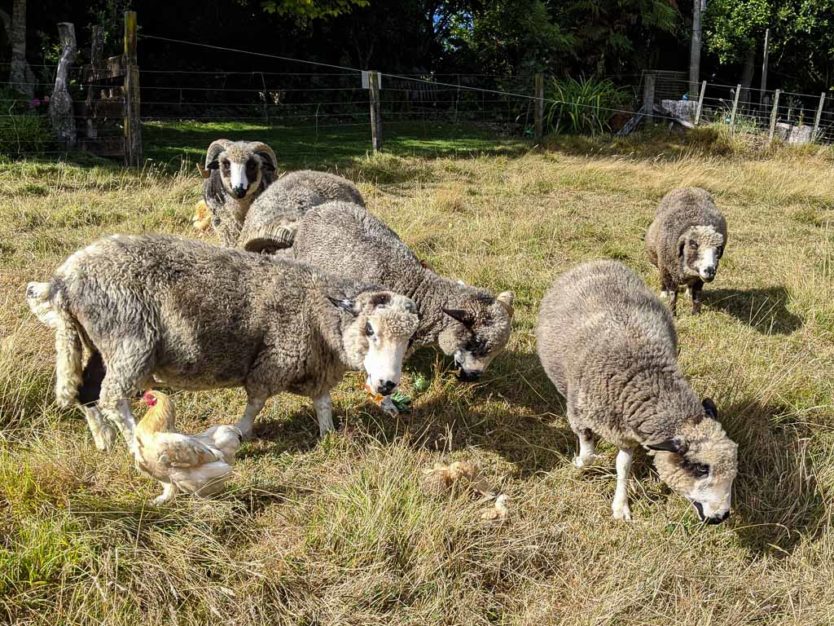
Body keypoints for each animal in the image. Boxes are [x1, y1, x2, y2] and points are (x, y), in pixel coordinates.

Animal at [26, 234, 420, 448]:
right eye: (370, 330)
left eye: (410, 338)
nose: (387, 385)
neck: (316, 306)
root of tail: (64, 280)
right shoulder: (275, 359)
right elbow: (256, 402)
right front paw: (242, 432)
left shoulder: (316, 367)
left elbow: (322, 403)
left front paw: (328, 435)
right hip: (128, 341)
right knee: (111, 397)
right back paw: (136, 444)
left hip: (99, 344)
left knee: (87, 392)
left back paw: (103, 441)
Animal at [532, 258, 736, 520]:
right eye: (700, 468)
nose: (721, 516)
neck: (644, 373)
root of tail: (597, 261)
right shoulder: (580, 416)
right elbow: (587, 454)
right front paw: (579, 463)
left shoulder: (625, 430)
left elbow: (623, 466)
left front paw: (620, 506)